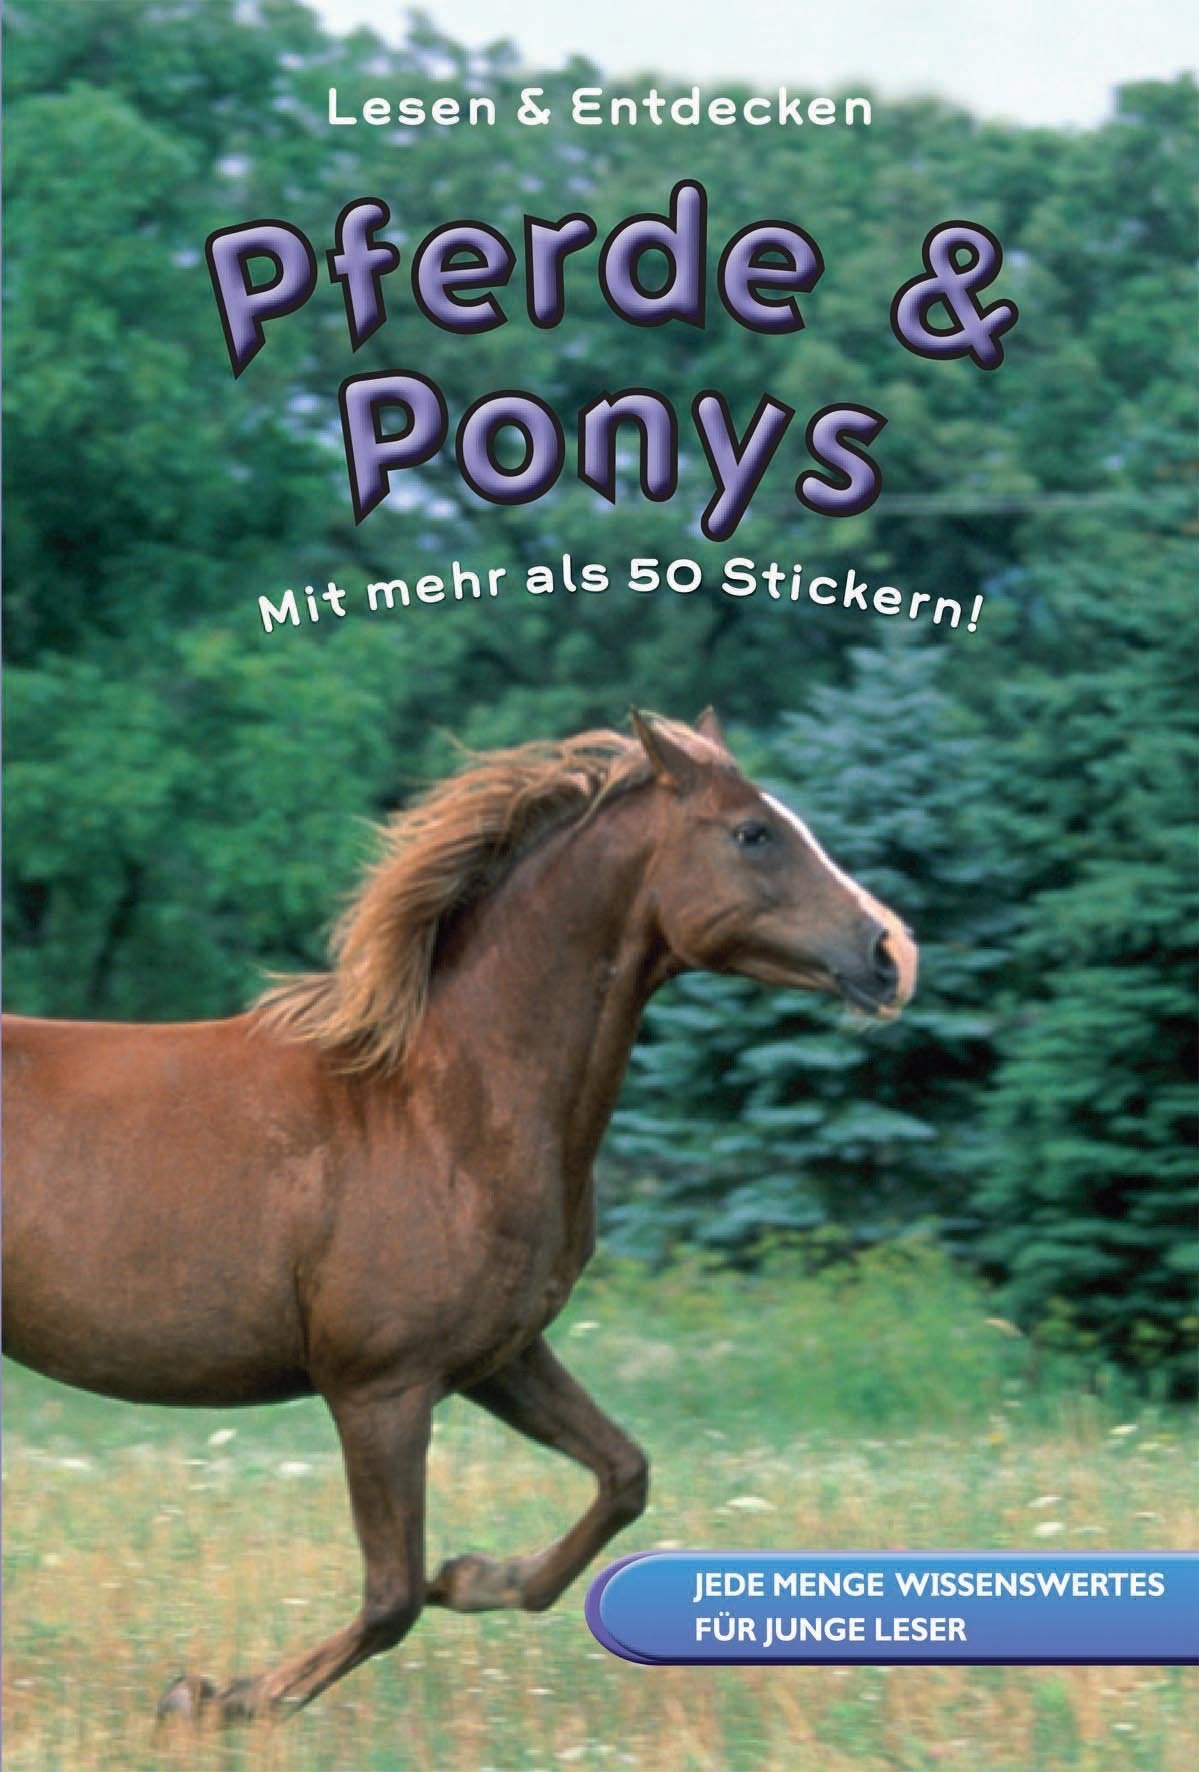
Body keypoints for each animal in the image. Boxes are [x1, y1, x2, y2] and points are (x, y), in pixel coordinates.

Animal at [1, 710, 917, 1722]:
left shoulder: (500, 1358)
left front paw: (479, 1576)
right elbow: (391, 1598)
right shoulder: (379, 1388)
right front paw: (215, 1698)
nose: (889, 957)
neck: (441, 1103)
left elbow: (623, 1476)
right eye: (753, 832)